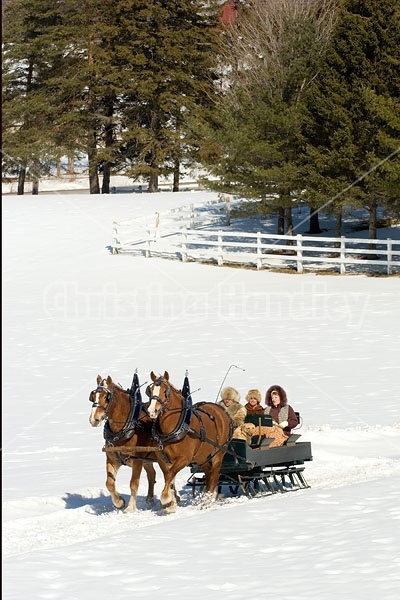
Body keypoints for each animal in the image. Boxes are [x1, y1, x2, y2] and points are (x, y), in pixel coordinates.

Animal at [88, 376, 159, 510]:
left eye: (106, 397)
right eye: (93, 396)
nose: (94, 419)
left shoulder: (137, 461)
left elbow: (133, 484)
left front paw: (130, 508)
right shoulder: (112, 459)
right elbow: (109, 483)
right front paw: (119, 502)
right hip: (148, 458)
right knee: (152, 474)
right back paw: (150, 500)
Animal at [148, 370, 233, 510]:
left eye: (165, 391)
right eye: (149, 390)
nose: (151, 411)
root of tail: (223, 412)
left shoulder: (184, 458)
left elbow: (170, 474)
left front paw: (166, 499)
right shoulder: (162, 459)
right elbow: (168, 477)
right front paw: (171, 504)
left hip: (218, 453)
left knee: (215, 474)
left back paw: (207, 500)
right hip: (202, 457)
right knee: (209, 474)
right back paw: (207, 496)